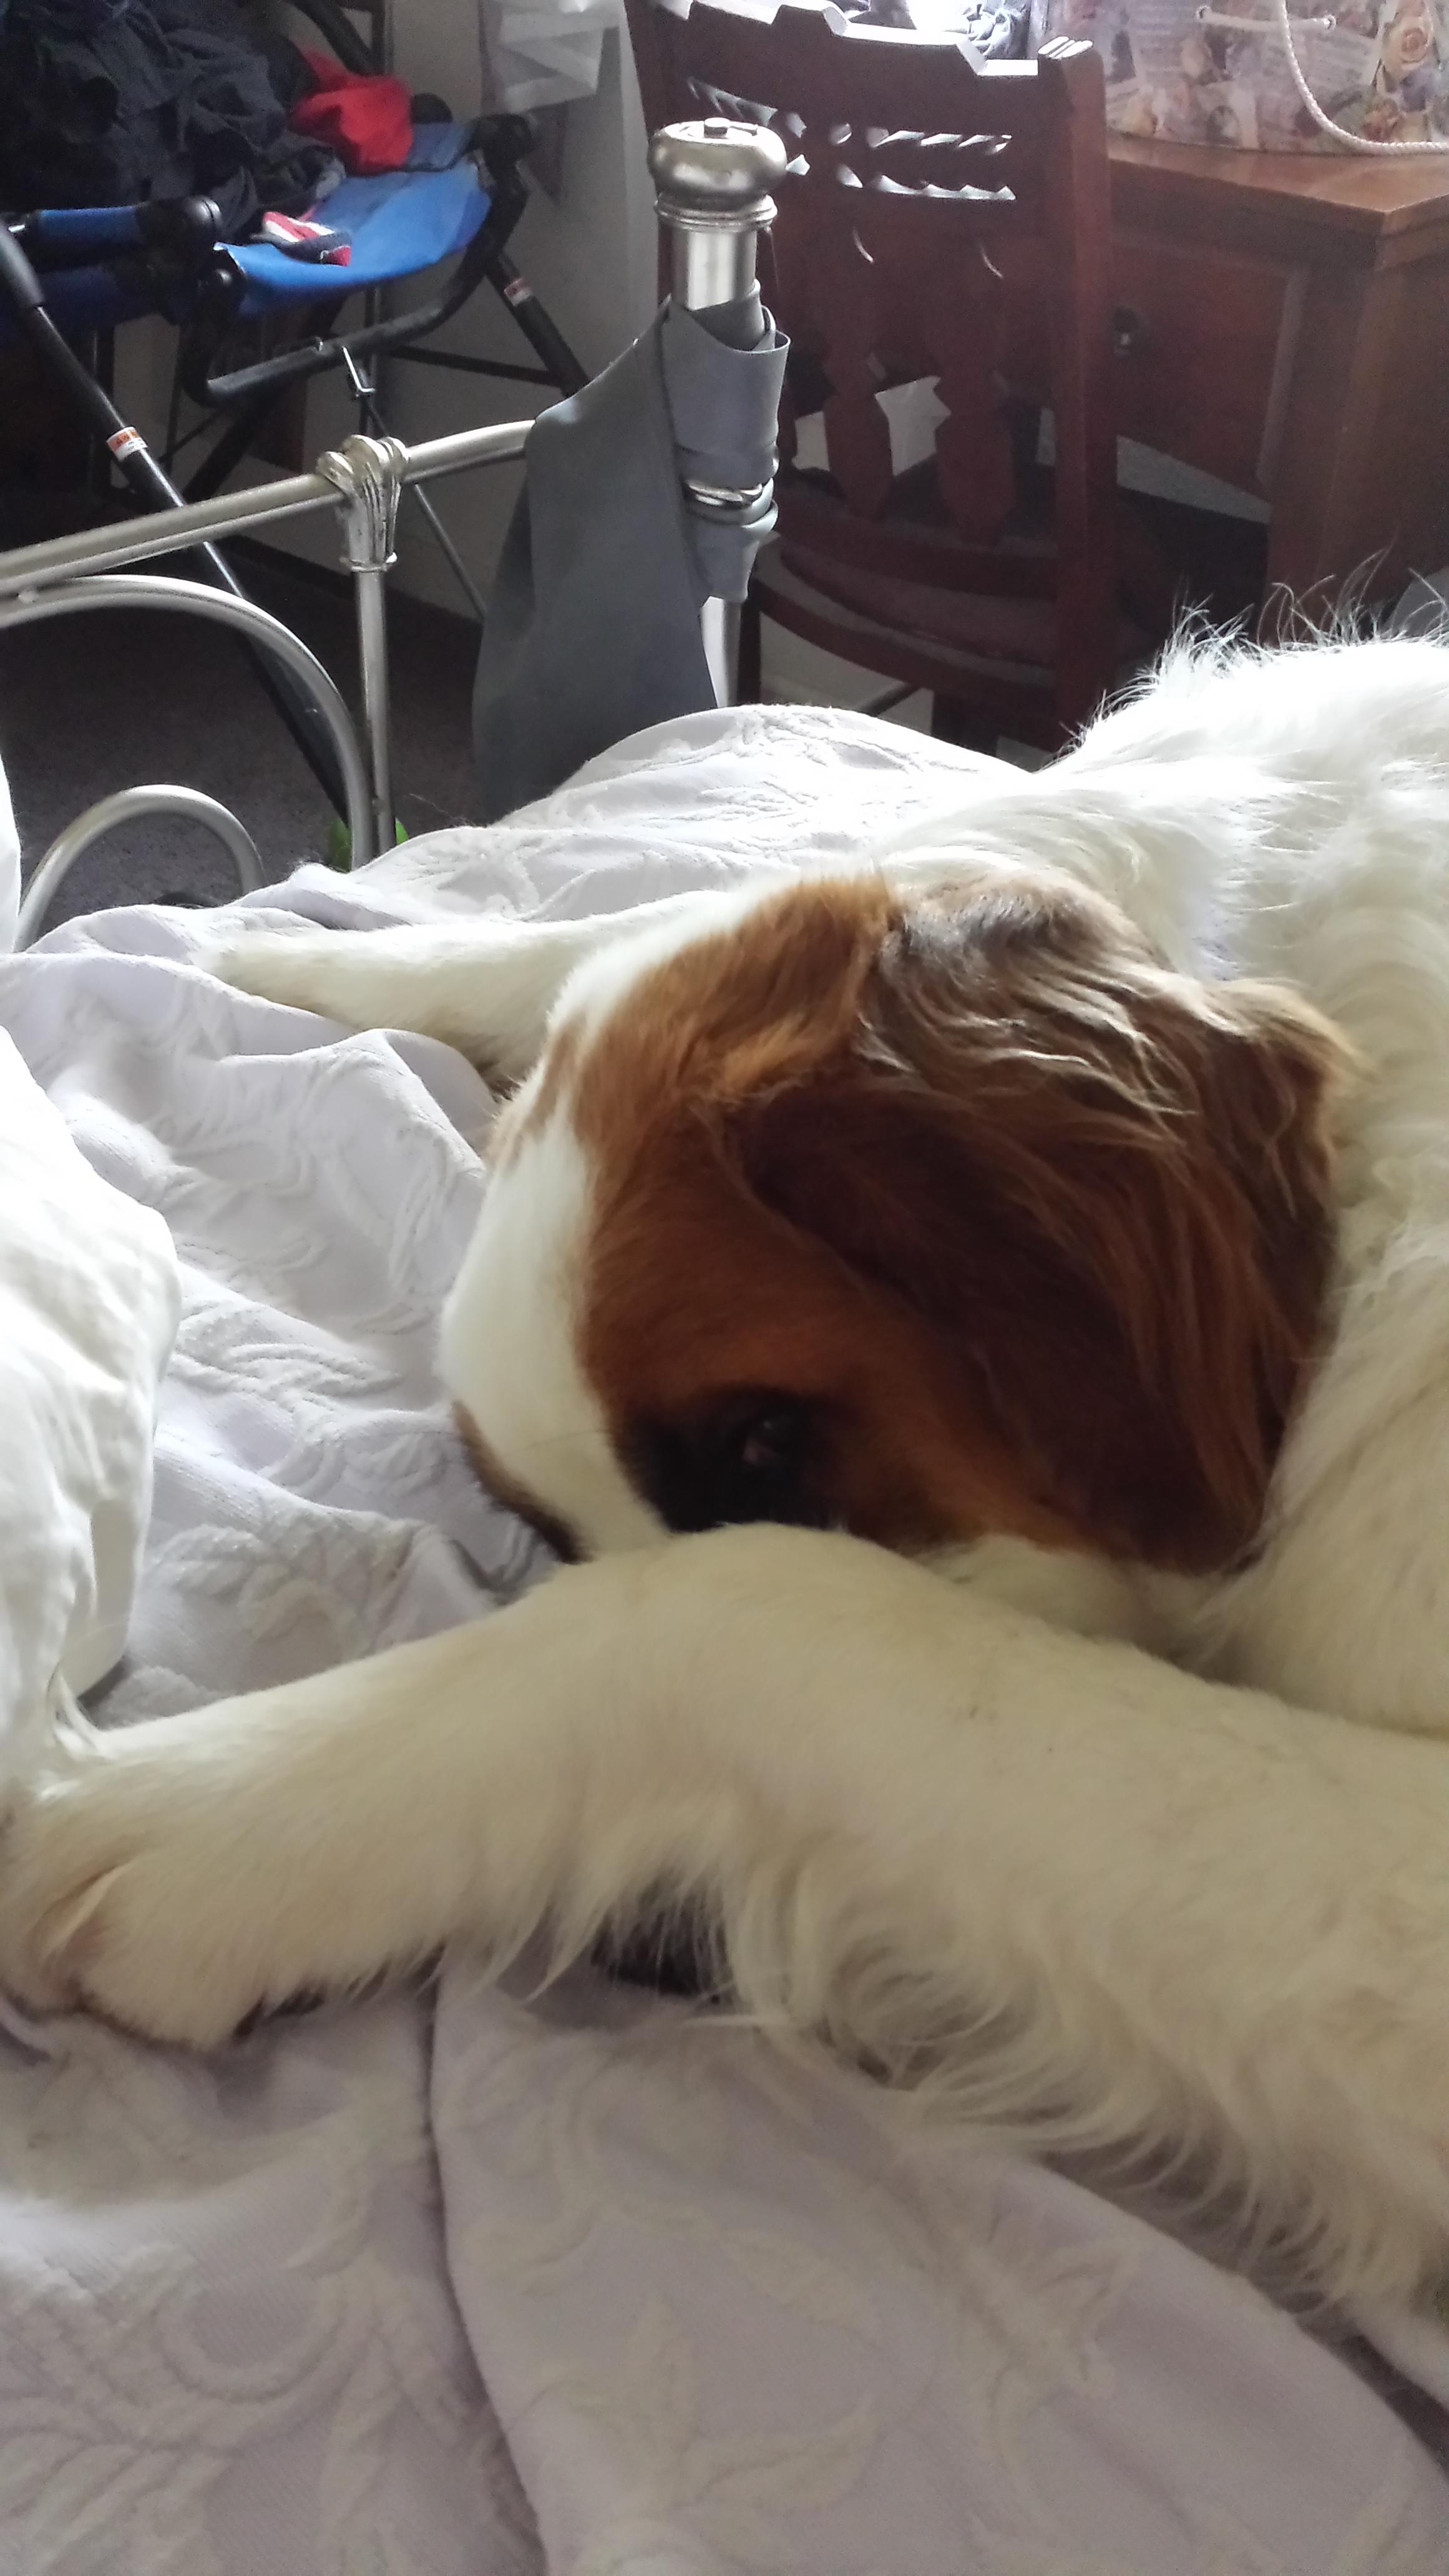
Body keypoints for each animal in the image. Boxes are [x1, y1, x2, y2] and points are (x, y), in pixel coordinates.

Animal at [6, 632, 1449, 2315]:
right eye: (540, 1527)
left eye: (763, 1440)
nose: (660, 1951)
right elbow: (613, 928)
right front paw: (299, 956)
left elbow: (753, 1611)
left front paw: (188, 1813)